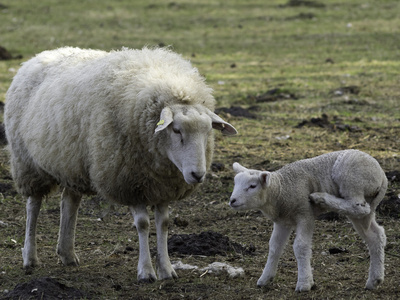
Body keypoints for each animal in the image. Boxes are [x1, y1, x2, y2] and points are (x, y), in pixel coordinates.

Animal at [3, 45, 238, 282]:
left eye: (208, 131)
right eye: (176, 130)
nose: (197, 174)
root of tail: (41, 55)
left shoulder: (162, 185)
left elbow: (163, 223)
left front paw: (166, 270)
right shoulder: (130, 181)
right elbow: (143, 224)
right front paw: (146, 271)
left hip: (72, 163)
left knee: (69, 201)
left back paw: (67, 254)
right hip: (27, 162)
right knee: (33, 206)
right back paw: (30, 258)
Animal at [230, 149, 386, 292]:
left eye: (252, 186)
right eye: (235, 183)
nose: (232, 200)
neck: (281, 189)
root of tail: (382, 175)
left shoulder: (305, 214)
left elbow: (301, 246)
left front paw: (304, 283)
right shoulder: (283, 221)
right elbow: (275, 247)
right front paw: (265, 278)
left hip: (352, 179)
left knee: (359, 206)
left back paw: (321, 198)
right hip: (365, 205)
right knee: (375, 235)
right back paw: (375, 280)